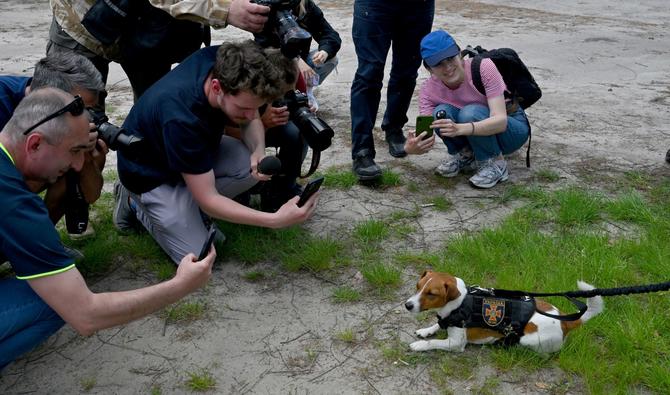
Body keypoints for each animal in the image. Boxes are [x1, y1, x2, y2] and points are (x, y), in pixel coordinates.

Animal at [406, 272, 608, 352]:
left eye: (432, 294)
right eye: (417, 286)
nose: (407, 305)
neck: (461, 302)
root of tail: (566, 321)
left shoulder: (456, 343)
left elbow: (433, 342)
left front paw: (420, 345)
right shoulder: (444, 319)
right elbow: (436, 324)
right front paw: (426, 330)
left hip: (528, 340)